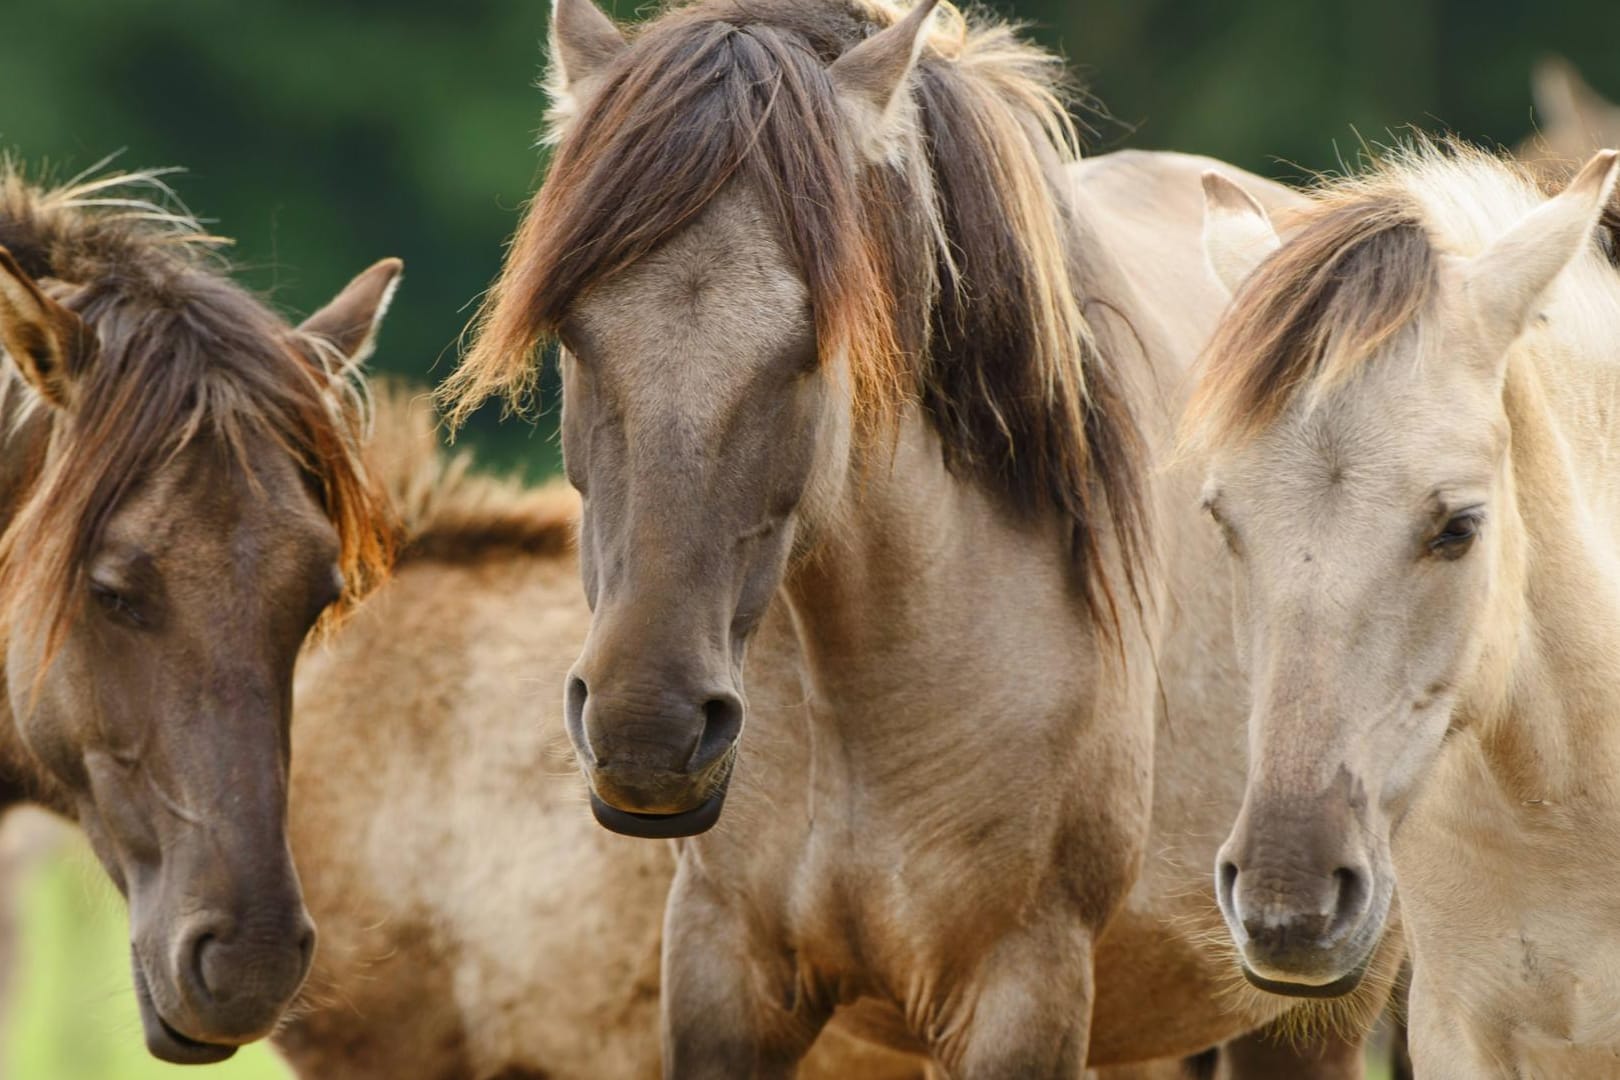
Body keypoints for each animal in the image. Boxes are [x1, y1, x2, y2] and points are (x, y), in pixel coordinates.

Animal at [450, 0, 1399, 1075]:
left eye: (813, 344)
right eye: (574, 332)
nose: (647, 731)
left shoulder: (1020, 992)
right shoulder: (721, 965)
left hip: (1309, 1008)